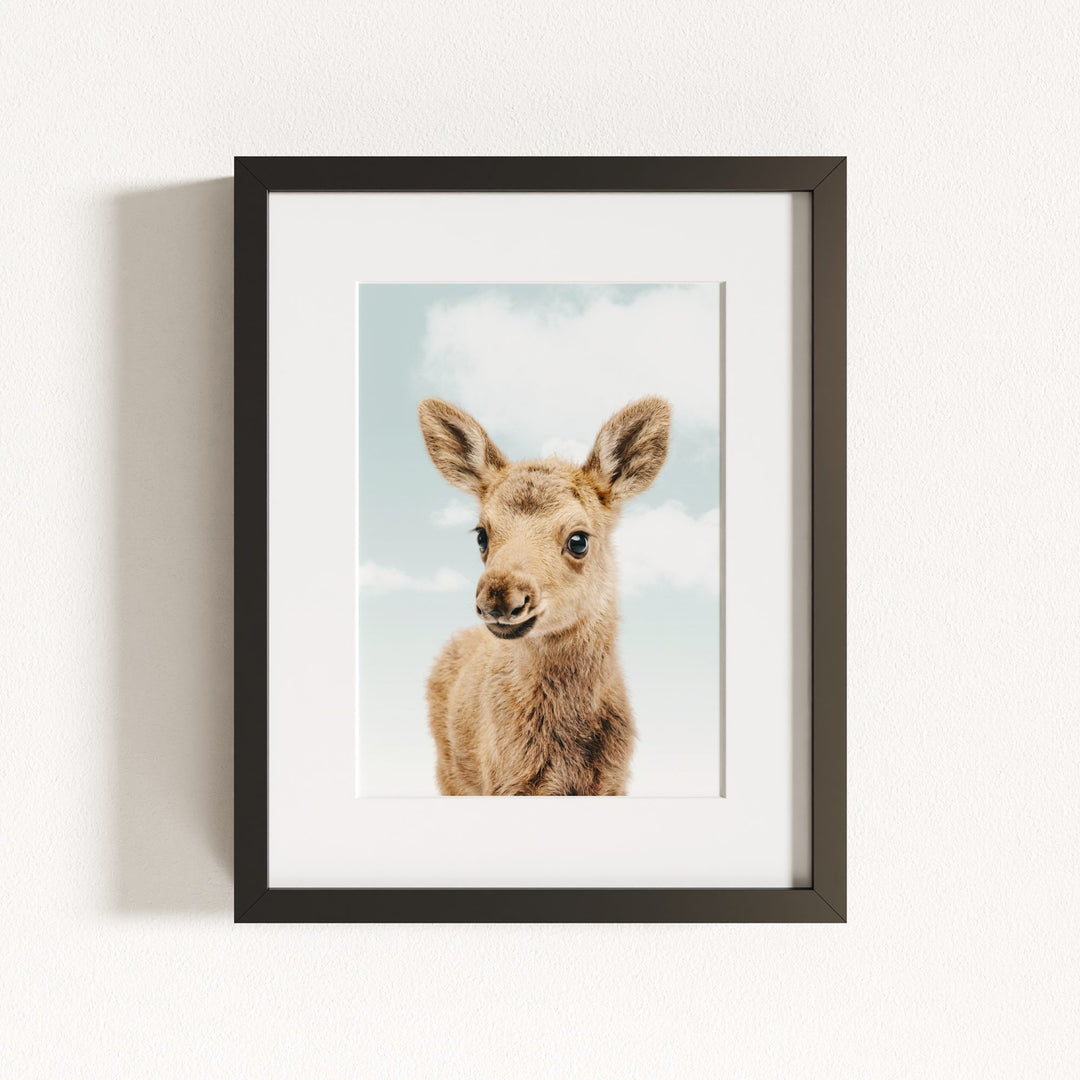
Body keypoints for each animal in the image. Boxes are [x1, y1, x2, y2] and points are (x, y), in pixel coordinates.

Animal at [417, 396, 671, 795]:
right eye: (482, 534)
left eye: (579, 539)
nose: (500, 597)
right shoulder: (504, 781)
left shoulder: (613, 781)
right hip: (449, 771)